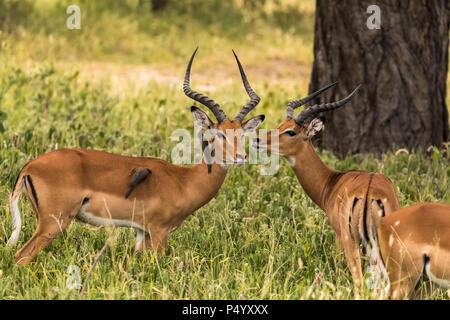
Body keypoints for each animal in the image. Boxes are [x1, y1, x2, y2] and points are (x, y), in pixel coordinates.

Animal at [7, 48, 264, 264]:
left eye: (242, 133)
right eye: (219, 134)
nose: (241, 156)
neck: (184, 180)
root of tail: (30, 166)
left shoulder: (142, 231)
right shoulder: (159, 230)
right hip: (54, 222)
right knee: (21, 256)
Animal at [253, 82, 400, 288]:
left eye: (291, 131)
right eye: (280, 125)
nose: (257, 140)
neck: (332, 182)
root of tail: (370, 193)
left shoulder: (339, 237)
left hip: (352, 243)